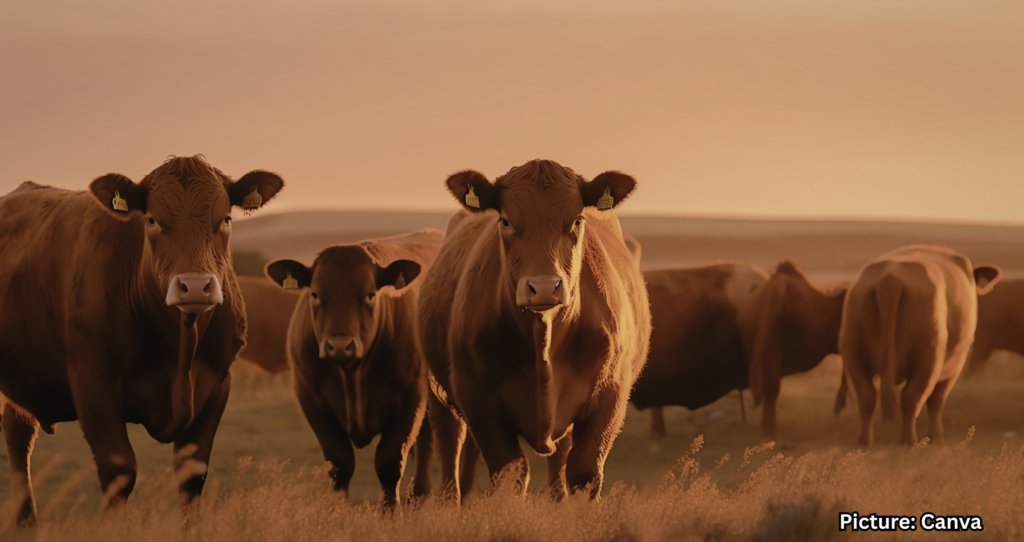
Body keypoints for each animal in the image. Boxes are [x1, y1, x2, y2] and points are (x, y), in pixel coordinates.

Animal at [0, 156, 283, 525]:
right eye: (151, 219)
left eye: (226, 219)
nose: (195, 286)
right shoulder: (92, 382)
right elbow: (119, 472)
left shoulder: (219, 383)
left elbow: (192, 475)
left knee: (18, 432)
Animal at [265, 229, 444, 507]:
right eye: (315, 294)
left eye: (370, 294)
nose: (339, 346)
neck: (352, 377)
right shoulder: (309, 396)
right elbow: (340, 465)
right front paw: (338, 511)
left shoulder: (411, 395)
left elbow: (389, 463)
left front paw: (390, 511)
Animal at [418, 159, 652, 500]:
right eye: (505, 221)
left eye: (577, 220)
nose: (543, 287)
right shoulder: (477, 398)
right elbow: (510, 473)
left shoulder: (610, 395)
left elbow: (584, 473)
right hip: (439, 392)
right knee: (450, 445)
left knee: (559, 459)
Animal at [835, 245, 1000, 446]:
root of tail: (891, 278)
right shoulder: (955, 364)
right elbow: (937, 399)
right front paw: (936, 436)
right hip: (928, 356)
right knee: (912, 398)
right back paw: (909, 441)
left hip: (854, 350)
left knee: (867, 397)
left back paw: (864, 441)